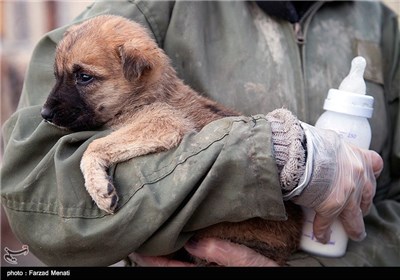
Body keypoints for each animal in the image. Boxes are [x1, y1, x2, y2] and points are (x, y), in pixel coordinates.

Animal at [41, 14, 304, 264]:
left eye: (84, 77)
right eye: (56, 75)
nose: (44, 114)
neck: (148, 96)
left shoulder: (164, 122)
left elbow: (94, 146)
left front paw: (99, 188)